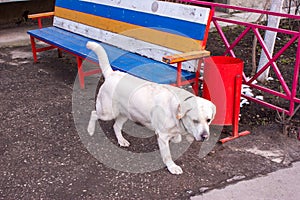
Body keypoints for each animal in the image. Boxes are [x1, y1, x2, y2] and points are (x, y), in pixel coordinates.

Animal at [86, 41, 216, 174]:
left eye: (208, 120)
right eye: (195, 120)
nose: (205, 137)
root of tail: (112, 73)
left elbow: (177, 138)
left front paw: (176, 138)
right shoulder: (162, 136)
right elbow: (167, 155)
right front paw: (172, 167)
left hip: (125, 114)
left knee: (116, 126)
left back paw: (121, 140)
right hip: (107, 112)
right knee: (94, 113)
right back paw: (90, 130)